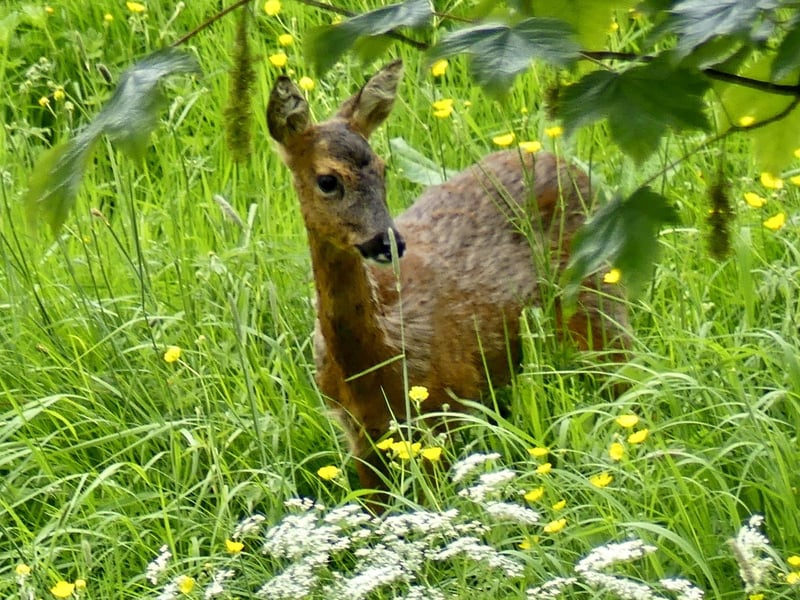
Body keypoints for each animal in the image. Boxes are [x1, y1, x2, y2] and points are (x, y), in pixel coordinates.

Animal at [266, 60, 630, 500]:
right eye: (328, 180)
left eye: (384, 170)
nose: (388, 241)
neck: (373, 360)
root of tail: (571, 167)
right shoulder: (358, 431)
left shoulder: (446, 403)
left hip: (599, 302)